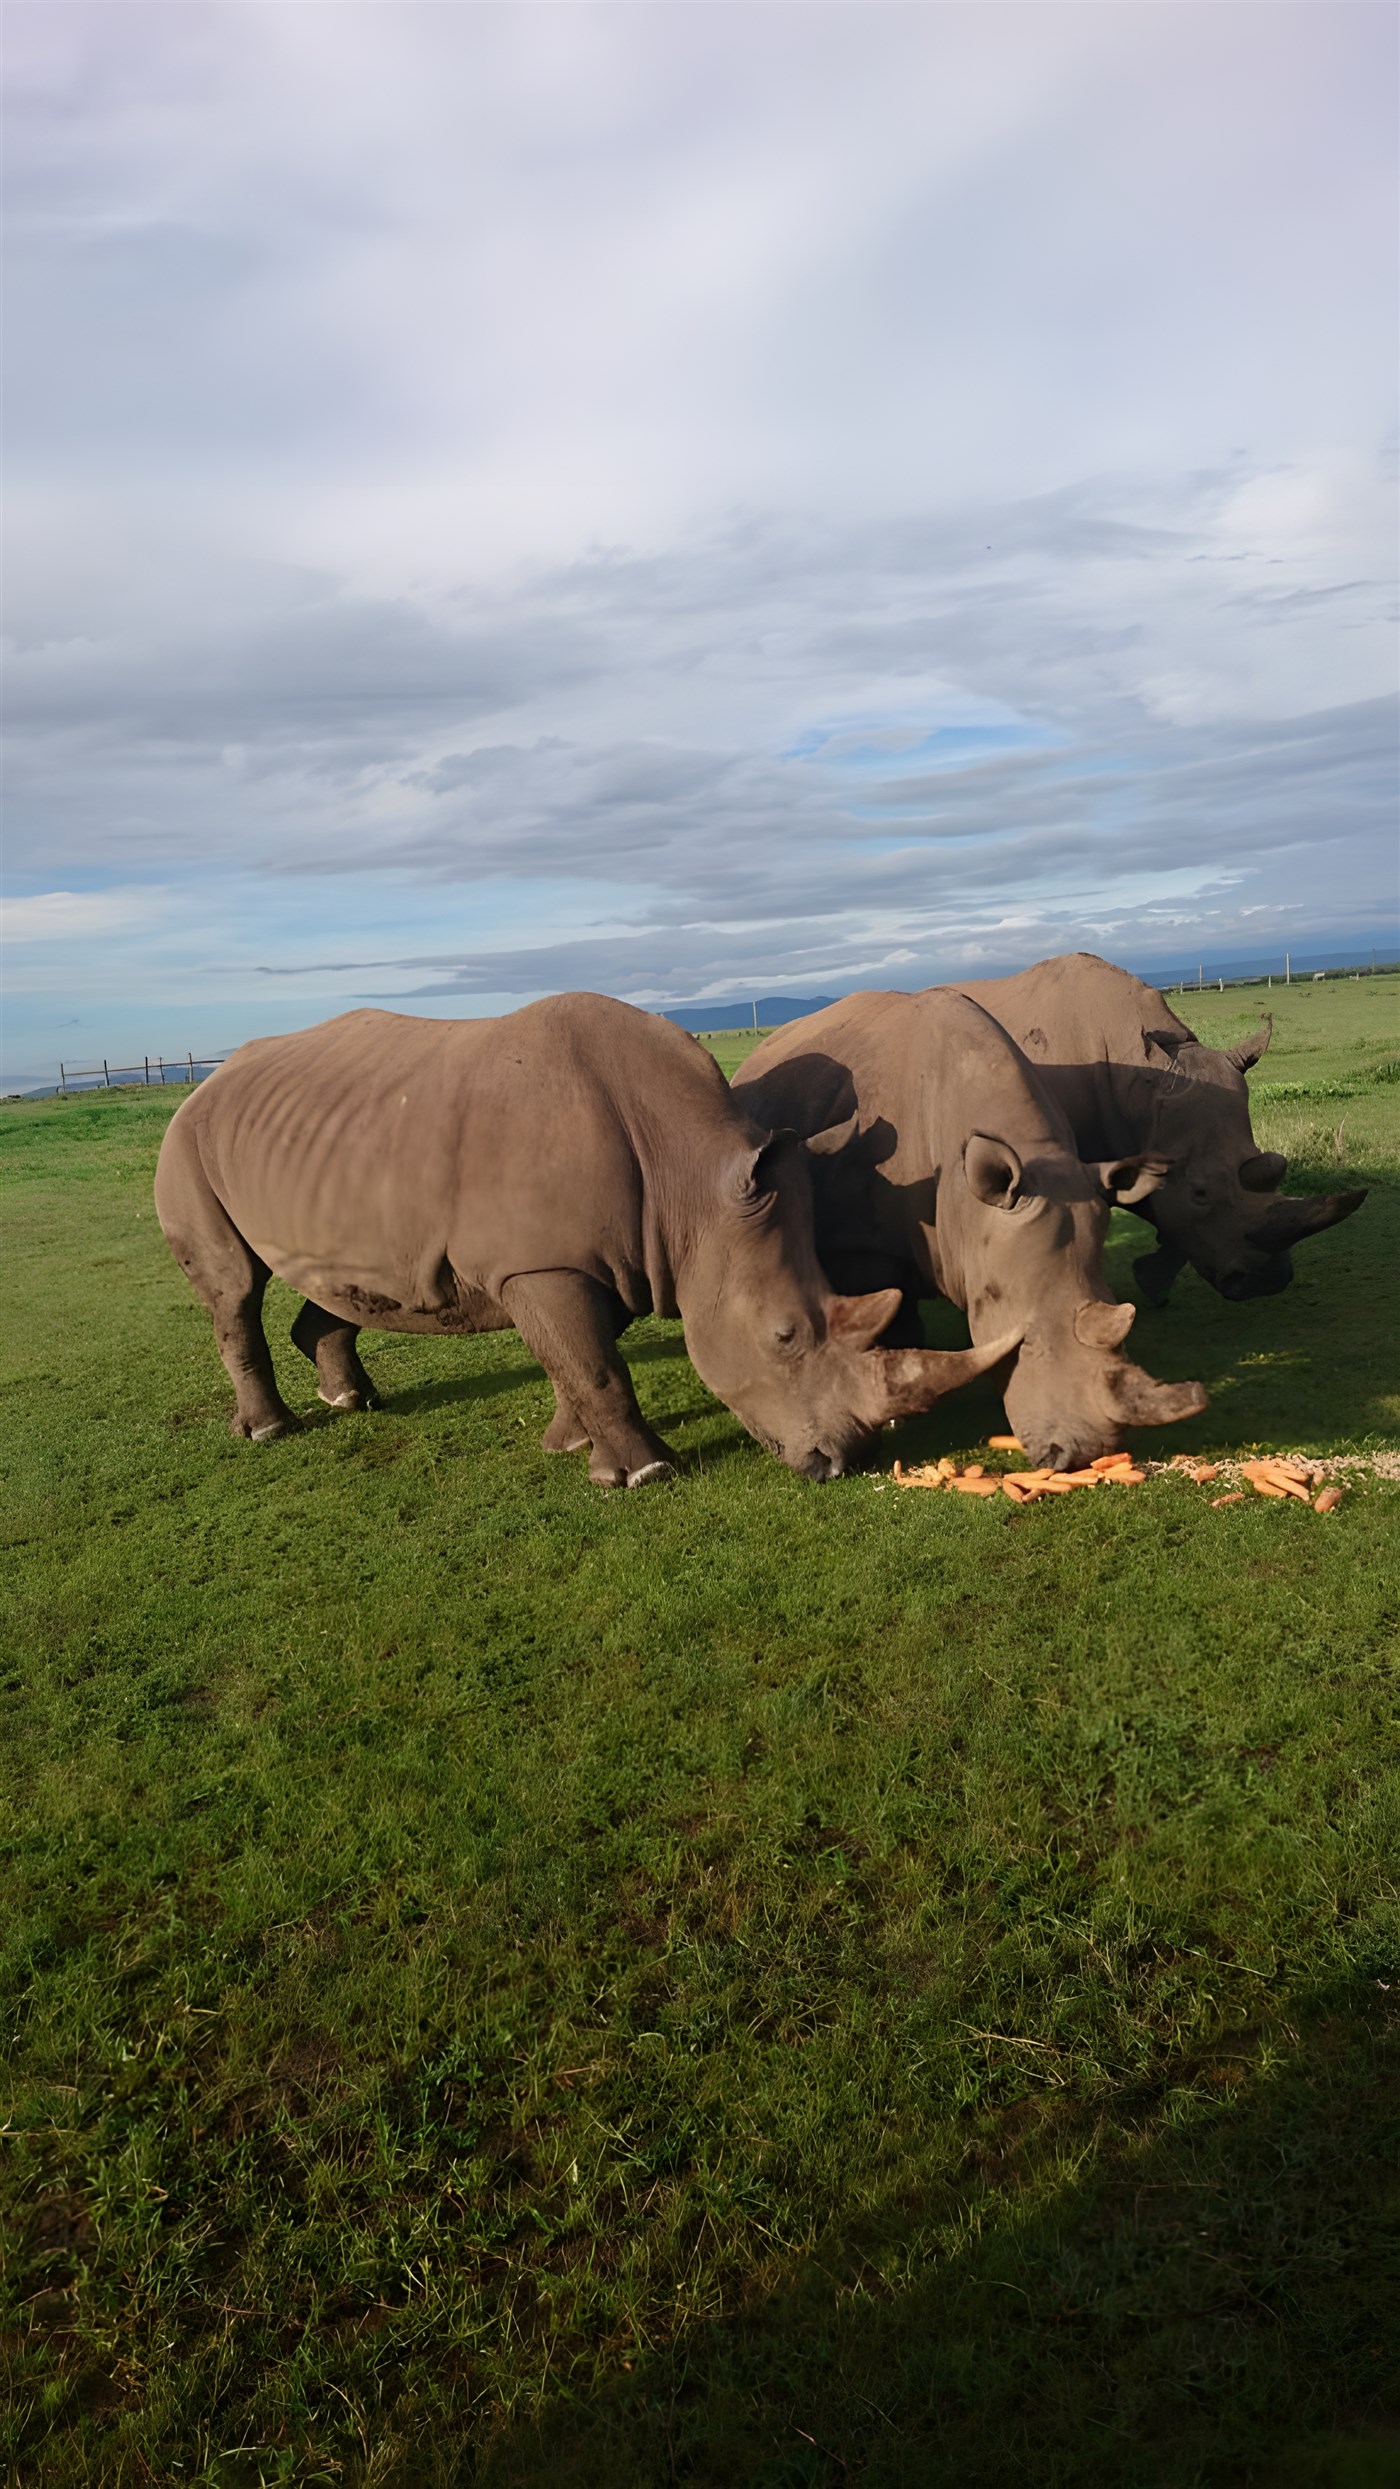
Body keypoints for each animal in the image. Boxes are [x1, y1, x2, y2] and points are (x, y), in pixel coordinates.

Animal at [153, 995, 1019, 1486]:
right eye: (783, 1337)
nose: (840, 1464)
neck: (690, 1181)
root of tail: (209, 1078)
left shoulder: (626, 1252)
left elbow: (580, 1356)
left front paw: (570, 1447)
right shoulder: (545, 1262)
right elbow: (596, 1363)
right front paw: (644, 1474)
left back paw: (352, 1398)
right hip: (186, 1140)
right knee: (234, 1286)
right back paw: (272, 1430)